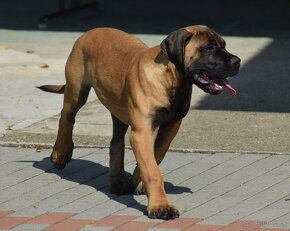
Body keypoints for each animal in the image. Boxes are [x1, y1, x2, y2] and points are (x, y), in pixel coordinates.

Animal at [38, 25, 240, 220]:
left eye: (224, 45)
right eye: (209, 48)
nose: (237, 61)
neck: (172, 80)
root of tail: (89, 32)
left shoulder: (172, 125)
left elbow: (156, 155)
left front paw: (139, 180)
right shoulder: (142, 131)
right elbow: (153, 171)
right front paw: (160, 206)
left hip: (117, 107)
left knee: (116, 143)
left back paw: (118, 181)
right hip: (76, 90)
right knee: (66, 117)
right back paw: (61, 153)